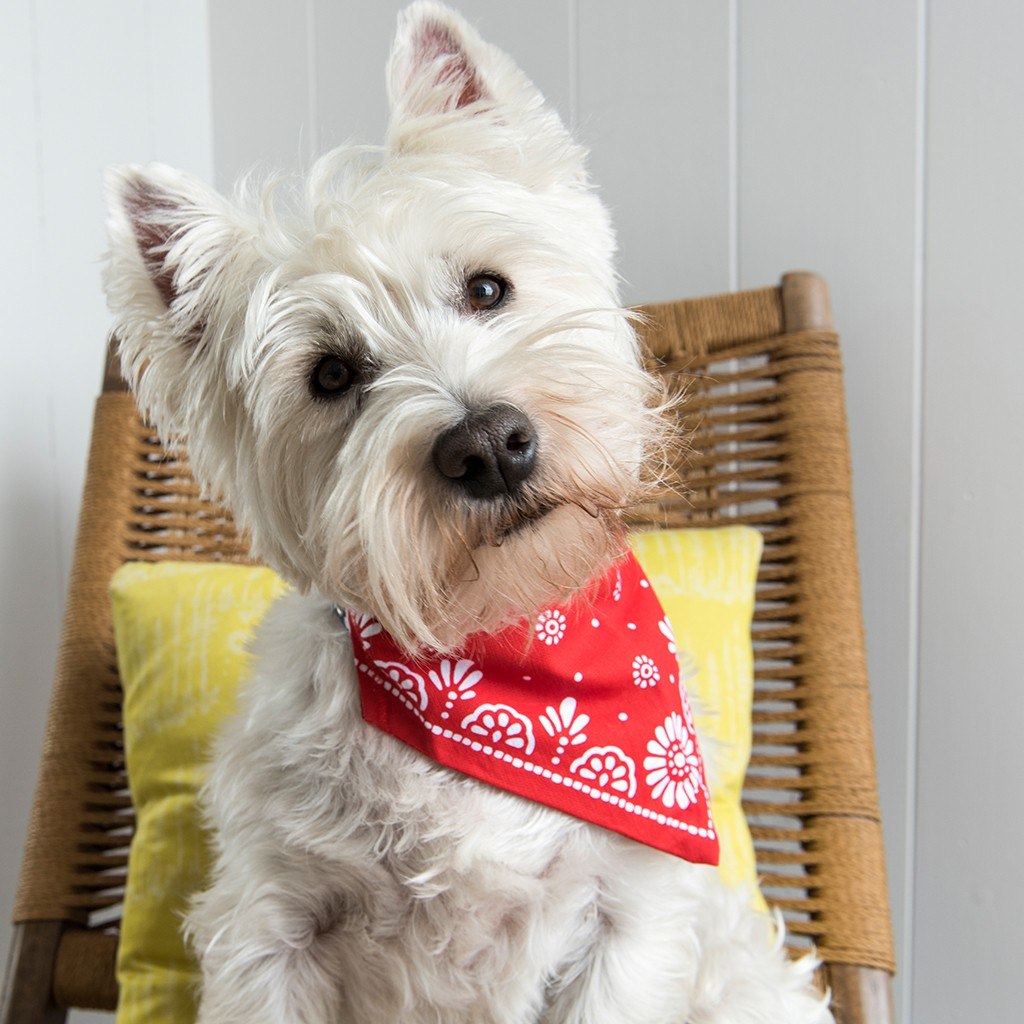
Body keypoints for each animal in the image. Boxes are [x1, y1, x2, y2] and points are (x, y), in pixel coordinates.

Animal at [105, 4, 831, 1019]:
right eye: (331, 374)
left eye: (487, 287)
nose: (488, 446)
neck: (495, 653)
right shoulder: (273, 923)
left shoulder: (626, 918)